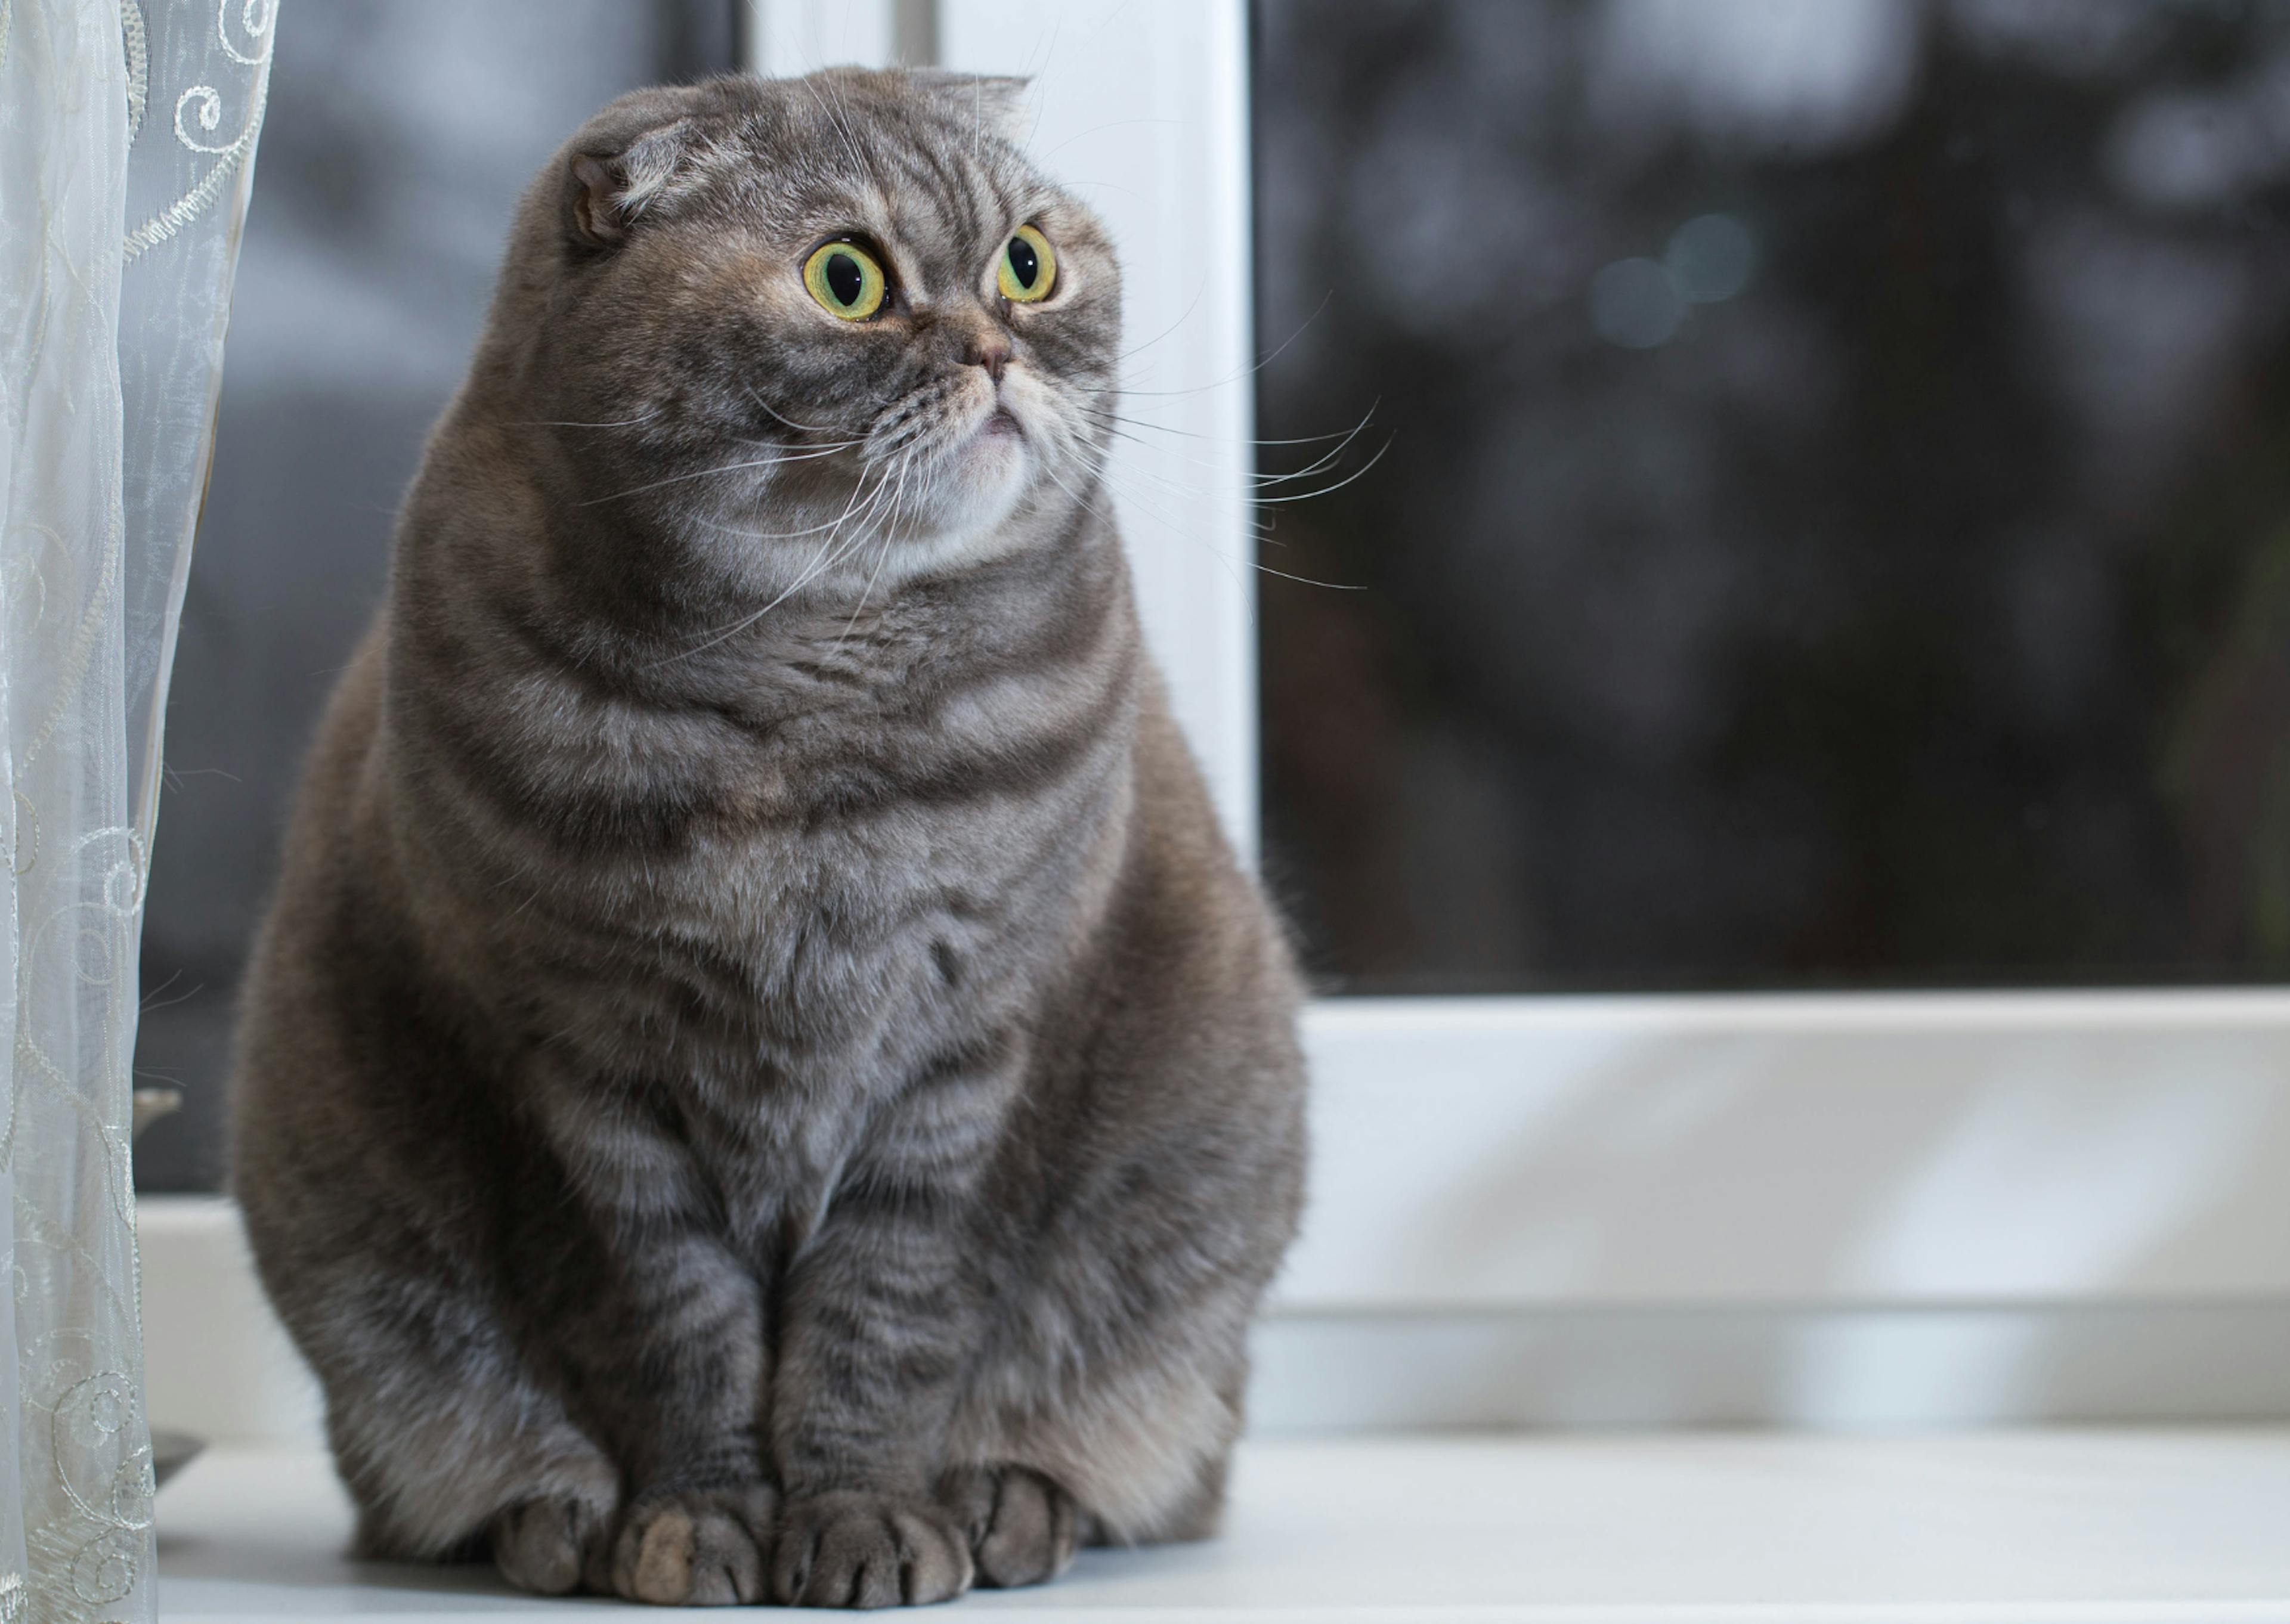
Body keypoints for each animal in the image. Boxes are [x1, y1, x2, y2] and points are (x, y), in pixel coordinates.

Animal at [232, 66, 1310, 1612]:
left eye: (1025, 262)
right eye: (846, 281)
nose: (995, 344)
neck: (810, 741)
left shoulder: (962, 1056)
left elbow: (882, 1326)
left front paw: (865, 1522)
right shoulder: (588, 1072)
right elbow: (673, 1330)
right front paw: (697, 1525)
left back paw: (1007, 1499)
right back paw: (548, 1520)